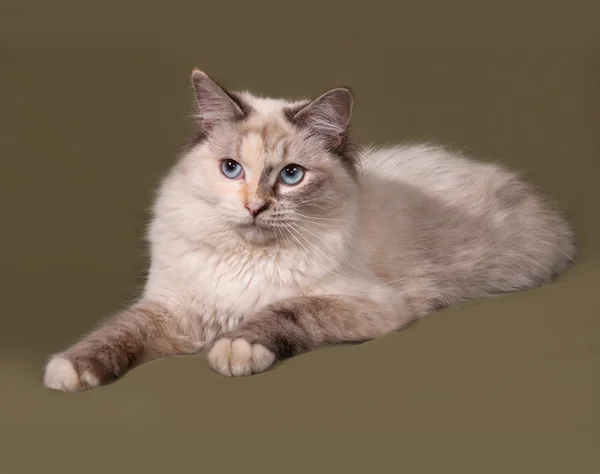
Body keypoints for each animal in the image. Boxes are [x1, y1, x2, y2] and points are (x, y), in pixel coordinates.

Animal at [42, 68, 576, 390]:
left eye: (291, 175)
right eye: (232, 169)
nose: (255, 207)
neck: (246, 261)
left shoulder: (359, 303)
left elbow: (283, 312)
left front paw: (234, 349)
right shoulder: (175, 309)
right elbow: (117, 331)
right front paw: (71, 370)